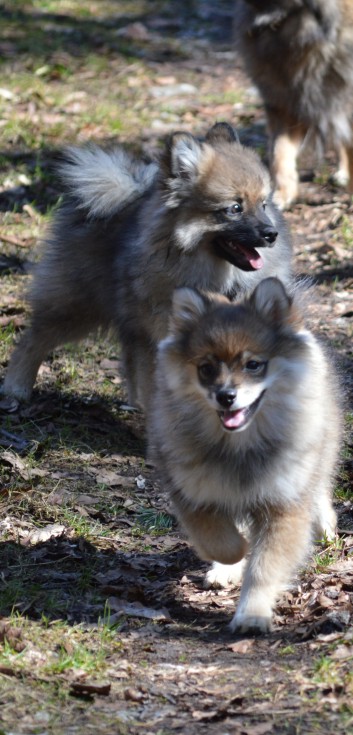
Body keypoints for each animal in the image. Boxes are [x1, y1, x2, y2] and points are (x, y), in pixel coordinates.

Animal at [150, 278, 340, 636]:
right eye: (206, 368)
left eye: (253, 364)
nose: (226, 396)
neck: (240, 446)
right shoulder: (191, 492)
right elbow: (220, 539)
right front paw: (234, 556)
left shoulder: (284, 503)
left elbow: (264, 566)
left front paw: (252, 614)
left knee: (320, 483)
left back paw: (325, 523)